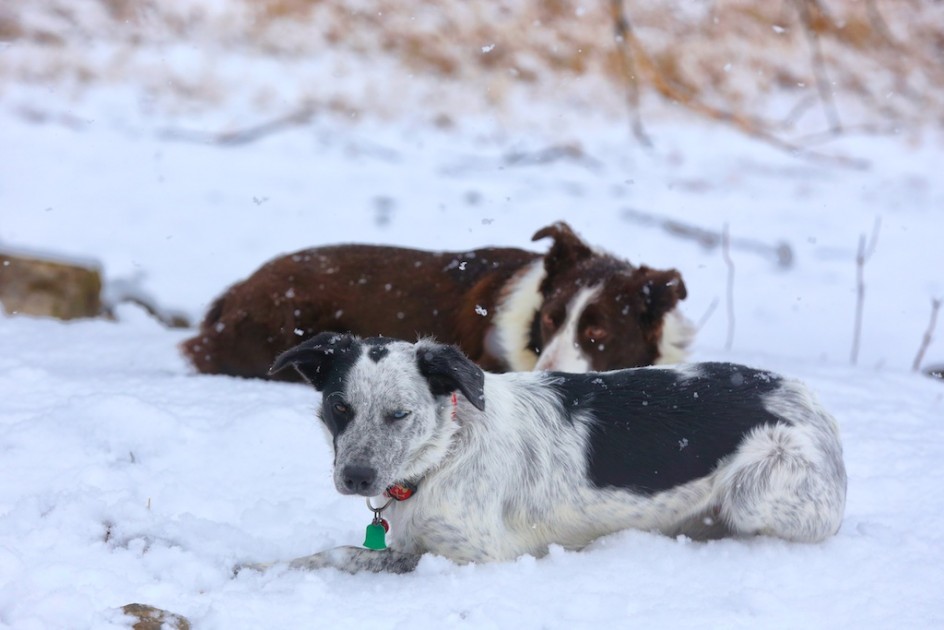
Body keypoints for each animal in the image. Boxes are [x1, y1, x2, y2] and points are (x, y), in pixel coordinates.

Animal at [254, 334, 844, 576]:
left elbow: (340, 554)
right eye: (339, 407)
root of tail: (812, 400)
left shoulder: (475, 555)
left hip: (756, 490)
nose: (356, 477)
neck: (445, 451)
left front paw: (258, 568)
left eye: (399, 414)